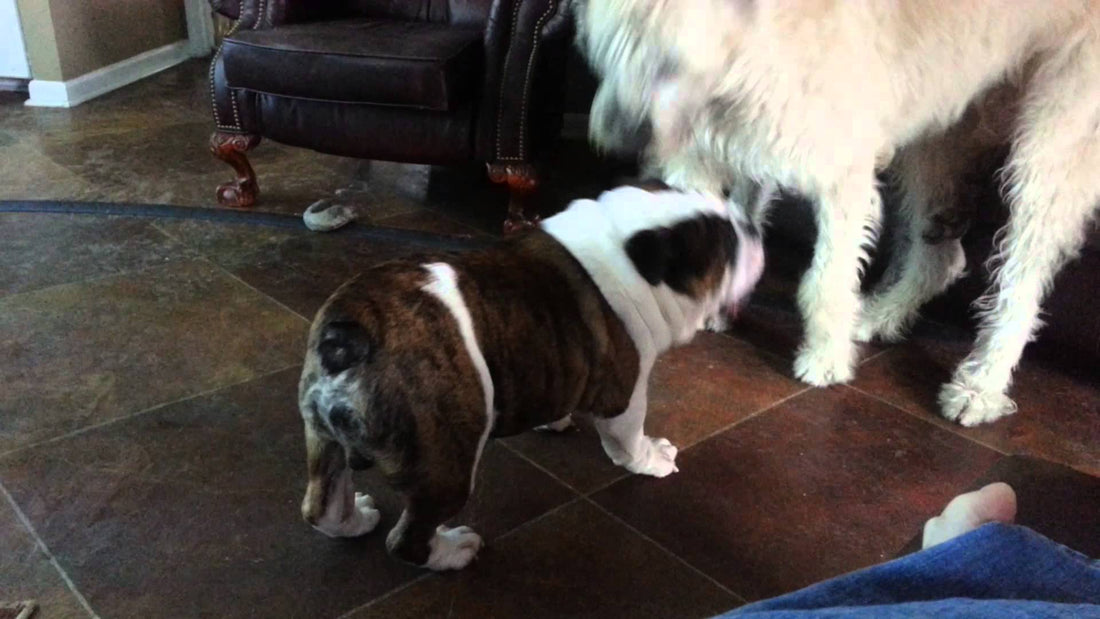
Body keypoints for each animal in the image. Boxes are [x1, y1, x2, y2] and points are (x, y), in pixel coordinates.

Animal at [576, 0, 1100, 426]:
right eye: (607, 52)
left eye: (669, 62)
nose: (616, 140)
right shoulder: (739, 144)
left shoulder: (840, 172)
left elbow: (825, 281)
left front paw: (825, 357)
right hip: (938, 128)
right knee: (943, 259)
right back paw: (882, 315)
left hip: (1051, 148)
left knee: (1022, 281)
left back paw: (982, 384)